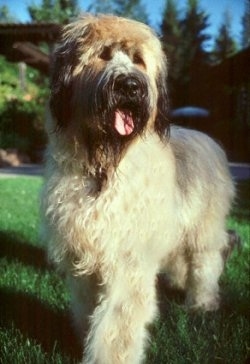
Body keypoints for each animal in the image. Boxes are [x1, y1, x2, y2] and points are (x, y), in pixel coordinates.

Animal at [41, 14, 236, 364]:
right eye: (104, 54)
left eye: (138, 60)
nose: (130, 86)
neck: (103, 169)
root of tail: (207, 138)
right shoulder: (85, 256)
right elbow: (88, 305)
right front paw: (83, 336)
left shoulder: (128, 257)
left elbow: (118, 321)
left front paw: (109, 356)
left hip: (204, 227)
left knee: (206, 263)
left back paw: (202, 303)